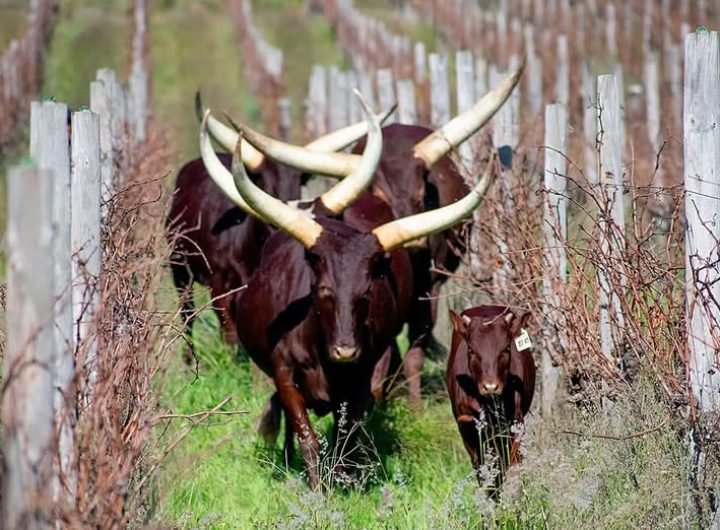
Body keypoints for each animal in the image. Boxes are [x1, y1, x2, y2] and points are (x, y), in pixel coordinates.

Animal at [197, 95, 500, 486]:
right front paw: (316, 489)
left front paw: (347, 478)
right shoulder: (285, 375)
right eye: (324, 290)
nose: (345, 351)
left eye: (367, 293)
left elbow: (348, 433)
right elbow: (307, 435)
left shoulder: (363, 376)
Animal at [228, 59, 524, 402]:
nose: (416, 242)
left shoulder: (429, 285)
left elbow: (416, 343)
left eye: (423, 194)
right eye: (380, 194)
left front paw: (414, 403)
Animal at [444, 304, 536, 492]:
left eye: (506, 348)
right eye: (472, 350)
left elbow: (513, 464)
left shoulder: (515, 423)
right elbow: (482, 469)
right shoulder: (467, 430)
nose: (491, 387)